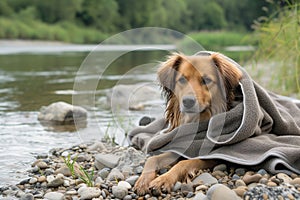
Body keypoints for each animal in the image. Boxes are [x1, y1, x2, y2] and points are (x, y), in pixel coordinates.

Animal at [135, 51, 243, 195]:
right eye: (182, 80)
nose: (188, 101)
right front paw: (143, 180)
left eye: (206, 80)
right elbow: (153, 159)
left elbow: (184, 163)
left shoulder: (213, 155)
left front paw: (163, 180)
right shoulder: (182, 145)